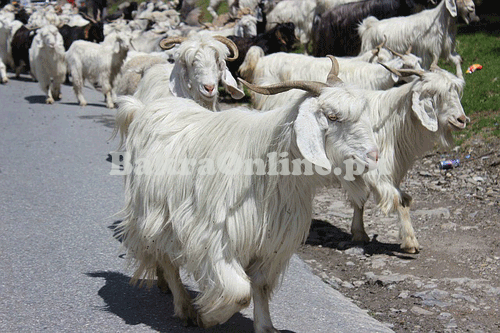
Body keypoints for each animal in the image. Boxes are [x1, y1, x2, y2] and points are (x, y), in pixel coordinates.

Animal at [114, 56, 378, 330]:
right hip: (154, 213)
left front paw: (265, 326)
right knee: (166, 258)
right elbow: (240, 292)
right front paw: (208, 317)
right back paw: (185, 307)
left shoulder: (272, 244)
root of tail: (143, 109)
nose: (373, 156)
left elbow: (259, 285)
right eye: (333, 116)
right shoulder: (215, 237)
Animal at [344, 64, 468, 252]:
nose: (462, 120)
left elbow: (401, 200)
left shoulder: (392, 171)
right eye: (436, 94)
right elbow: (390, 199)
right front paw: (409, 241)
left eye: (456, 92)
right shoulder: (373, 170)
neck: (389, 124)